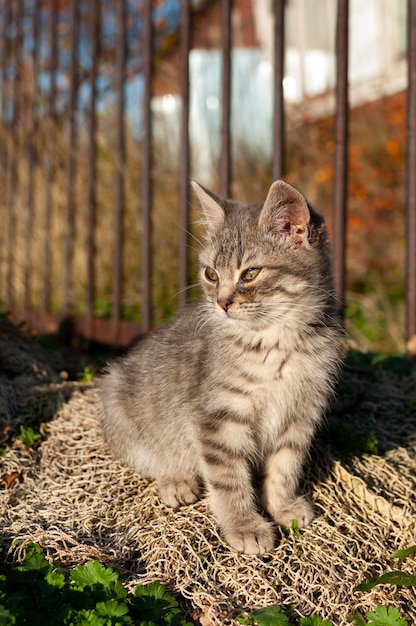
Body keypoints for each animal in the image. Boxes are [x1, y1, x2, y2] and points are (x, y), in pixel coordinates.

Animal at [99, 179, 342, 552]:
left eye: (251, 273)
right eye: (211, 274)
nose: (222, 302)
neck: (276, 342)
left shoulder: (301, 413)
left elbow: (285, 466)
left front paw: (282, 505)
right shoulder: (217, 418)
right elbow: (229, 478)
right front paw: (243, 525)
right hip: (117, 397)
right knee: (147, 454)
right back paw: (176, 479)